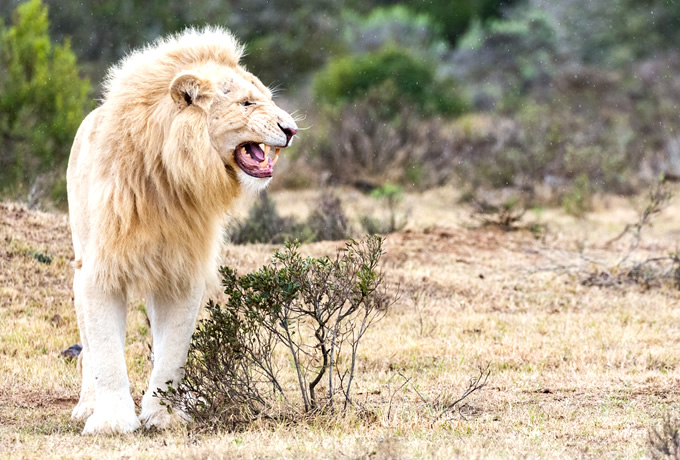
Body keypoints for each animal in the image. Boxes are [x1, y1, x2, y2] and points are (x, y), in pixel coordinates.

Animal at [66, 28, 298, 434]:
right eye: (247, 103)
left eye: (267, 99)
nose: (292, 130)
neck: (169, 182)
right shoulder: (99, 270)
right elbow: (107, 352)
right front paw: (111, 422)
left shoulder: (181, 270)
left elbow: (173, 351)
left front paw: (166, 415)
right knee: (89, 348)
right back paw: (87, 406)